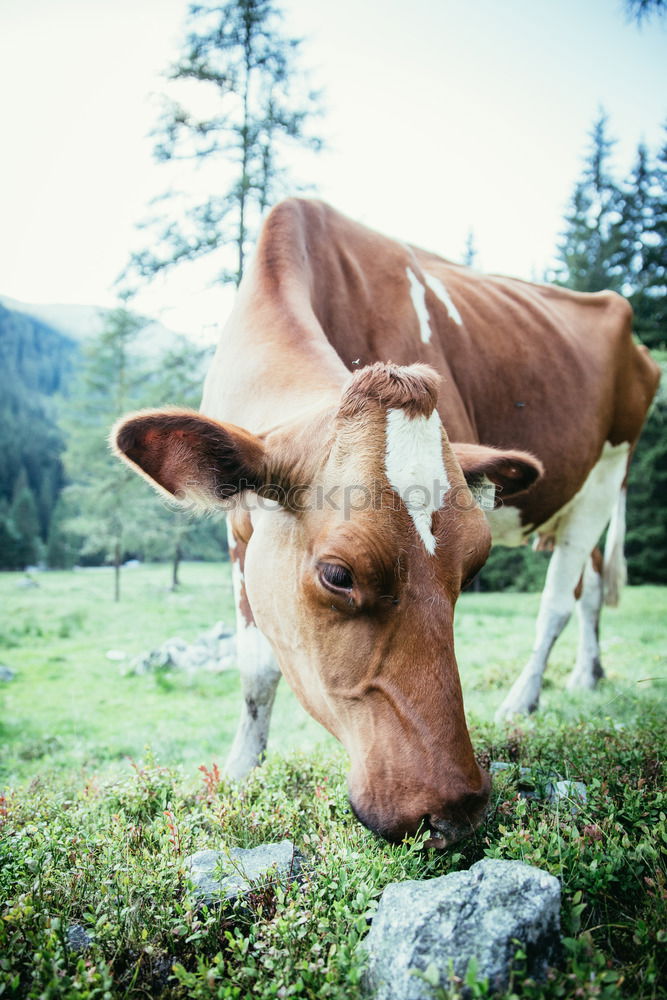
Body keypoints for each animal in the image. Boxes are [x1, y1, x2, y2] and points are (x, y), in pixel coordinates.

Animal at [112, 199, 660, 848]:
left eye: (473, 566)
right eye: (337, 575)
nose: (455, 808)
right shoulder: (238, 529)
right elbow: (254, 669)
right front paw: (241, 772)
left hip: (607, 473)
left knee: (556, 599)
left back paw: (523, 701)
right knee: (592, 587)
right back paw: (588, 676)